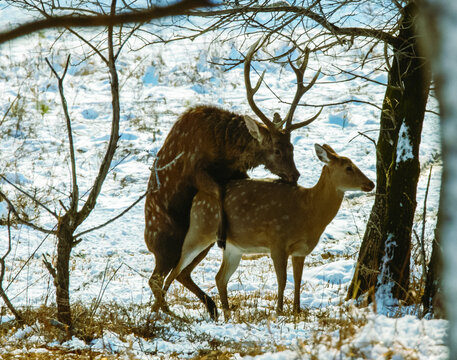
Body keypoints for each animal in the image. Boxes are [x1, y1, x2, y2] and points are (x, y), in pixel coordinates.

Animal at [143, 40, 320, 320]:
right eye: (277, 150)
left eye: (291, 146)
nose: (295, 175)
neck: (224, 149)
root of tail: (147, 241)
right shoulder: (195, 167)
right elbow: (218, 190)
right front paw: (222, 232)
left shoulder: (237, 173)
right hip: (166, 242)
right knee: (157, 278)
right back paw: (171, 312)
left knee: (181, 273)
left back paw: (210, 307)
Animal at [164, 143, 374, 318]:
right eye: (348, 167)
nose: (371, 183)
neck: (308, 212)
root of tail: (196, 198)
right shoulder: (277, 240)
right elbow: (282, 279)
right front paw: (279, 311)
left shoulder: (300, 250)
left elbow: (298, 279)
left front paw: (297, 311)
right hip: (199, 230)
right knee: (174, 271)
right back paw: (164, 310)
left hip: (233, 248)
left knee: (218, 277)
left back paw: (225, 314)